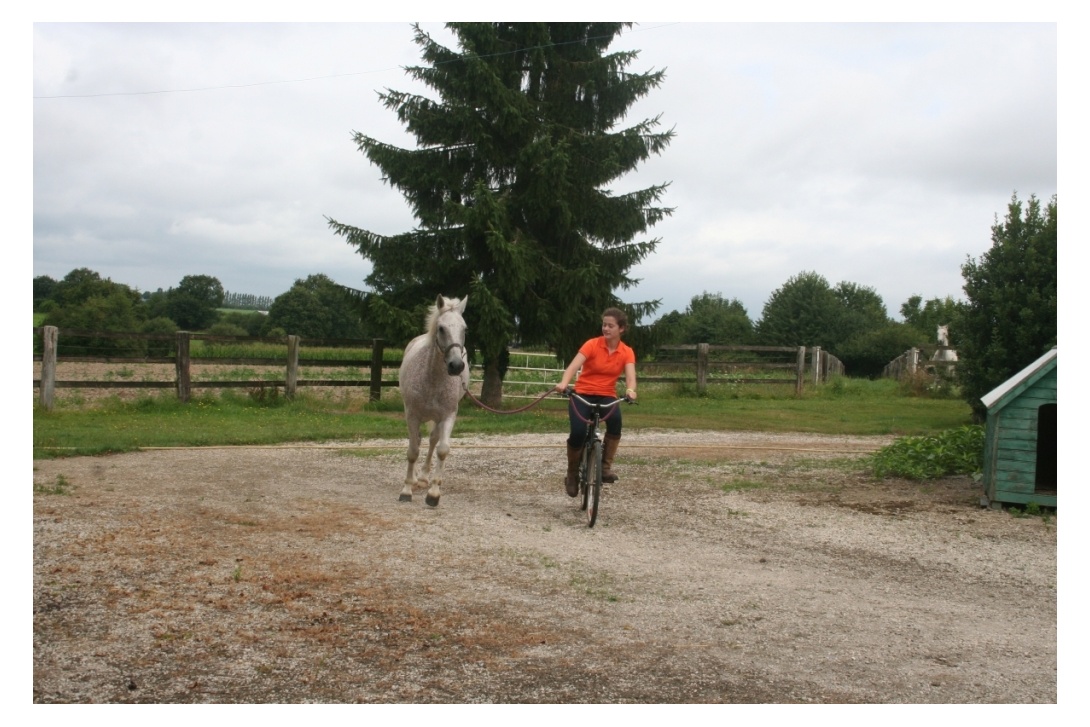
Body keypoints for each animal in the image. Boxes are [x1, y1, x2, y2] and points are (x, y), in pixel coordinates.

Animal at [401, 294, 468, 505]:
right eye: (441, 328)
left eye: (464, 329)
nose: (456, 366)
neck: (432, 378)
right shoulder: (412, 415)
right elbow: (413, 451)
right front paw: (406, 489)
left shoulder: (448, 416)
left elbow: (442, 450)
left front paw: (434, 493)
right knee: (417, 441)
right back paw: (416, 479)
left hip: (437, 419)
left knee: (432, 441)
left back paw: (423, 478)